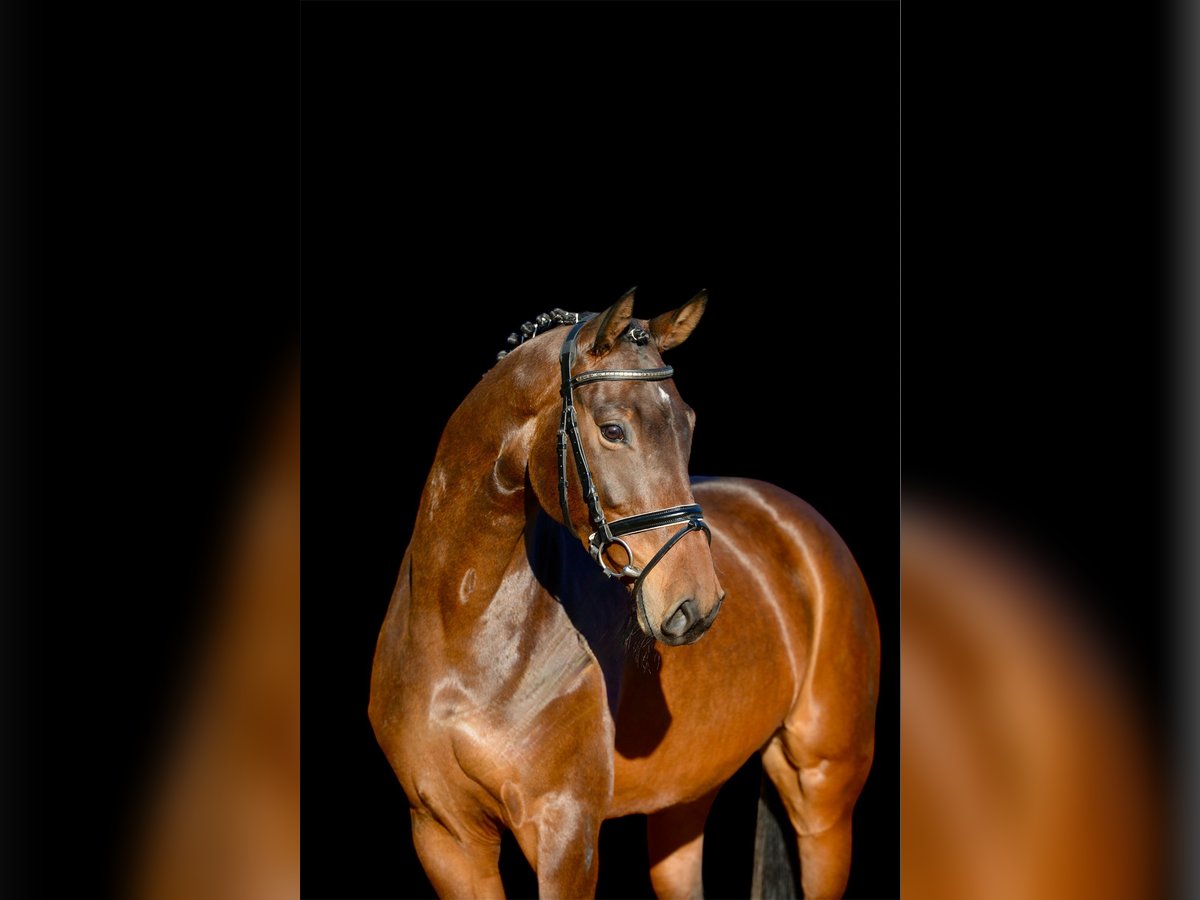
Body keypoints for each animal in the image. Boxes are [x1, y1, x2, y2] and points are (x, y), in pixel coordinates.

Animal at [369, 289, 880, 898]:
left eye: (687, 423)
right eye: (613, 430)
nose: (695, 603)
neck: (459, 632)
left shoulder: (566, 833)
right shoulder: (446, 837)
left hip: (823, 793)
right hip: (685, 802)